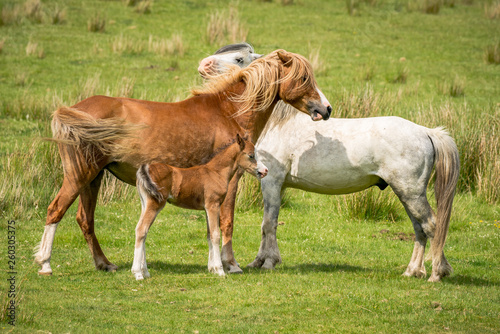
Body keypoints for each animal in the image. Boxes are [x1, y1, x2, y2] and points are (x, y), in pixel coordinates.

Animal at [132, 134, 266, 280]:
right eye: (251, 155)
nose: (265, 171)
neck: (216, 172)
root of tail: (145, 168)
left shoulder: (207, 208)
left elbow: (209, 235)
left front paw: (212, 269)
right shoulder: (213, 205)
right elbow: (215, 234)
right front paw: (220, 270)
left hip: (145, 203)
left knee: (143, 231)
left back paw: (145, 272)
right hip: (155, 204)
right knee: (141, 230)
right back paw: (137, 273)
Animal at [200, 43, 460, 280]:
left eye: (238, 58)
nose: (203, 64)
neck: (276, 124)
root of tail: (426, 132)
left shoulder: (271, 181)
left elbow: (268, 224)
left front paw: (268, 263)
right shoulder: (278, 185)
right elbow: (268, 225)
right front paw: (260, 261)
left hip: (411, 193)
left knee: (432, 226)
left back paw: (436, 273)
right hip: (407, 194)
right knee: (420, 229)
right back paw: (412, 271)